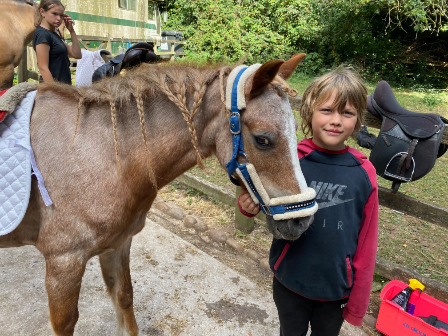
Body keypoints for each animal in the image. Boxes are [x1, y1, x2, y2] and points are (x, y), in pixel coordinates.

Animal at [0, 53, 316, 334]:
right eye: (263, 140)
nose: (302, 220)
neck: (96, 153)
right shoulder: (63, 264)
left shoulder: (117, 245)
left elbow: (125, 299)